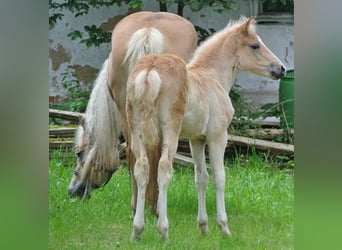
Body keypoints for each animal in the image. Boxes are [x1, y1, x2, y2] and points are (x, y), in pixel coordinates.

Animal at [67, 12, 198, 211]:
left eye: (78, 153)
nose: (72, 191)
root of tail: (148, 31)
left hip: (128, 113)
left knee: (134, 153)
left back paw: (139, 205)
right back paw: (152, 206)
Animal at [126, 16, 286, 239]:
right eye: (255, 45)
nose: (281, 69)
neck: (213, 76)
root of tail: (150, 70)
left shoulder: (197, 139)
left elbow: (201, 178)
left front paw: (204, 227)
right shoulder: (218, 136)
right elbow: (219, 177)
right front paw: (224, 228)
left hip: (137, 130)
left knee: (141, 169)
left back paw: (137, 231)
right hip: (170, 131)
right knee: (164, 169)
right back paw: (163, 230)